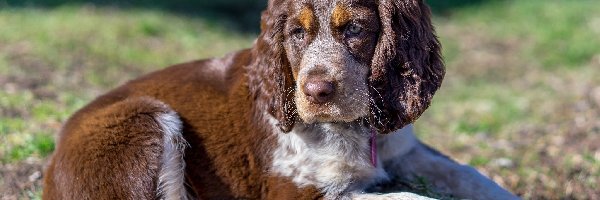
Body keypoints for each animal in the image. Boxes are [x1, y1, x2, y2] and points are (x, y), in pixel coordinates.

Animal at [43, 0, 520, 199]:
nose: (316, 92)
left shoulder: (403, 149)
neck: (358, 128)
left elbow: (471, 176)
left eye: (355, 29)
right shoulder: (298, 192)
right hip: (144, 119)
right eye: (296, 33)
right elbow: (408, 199)